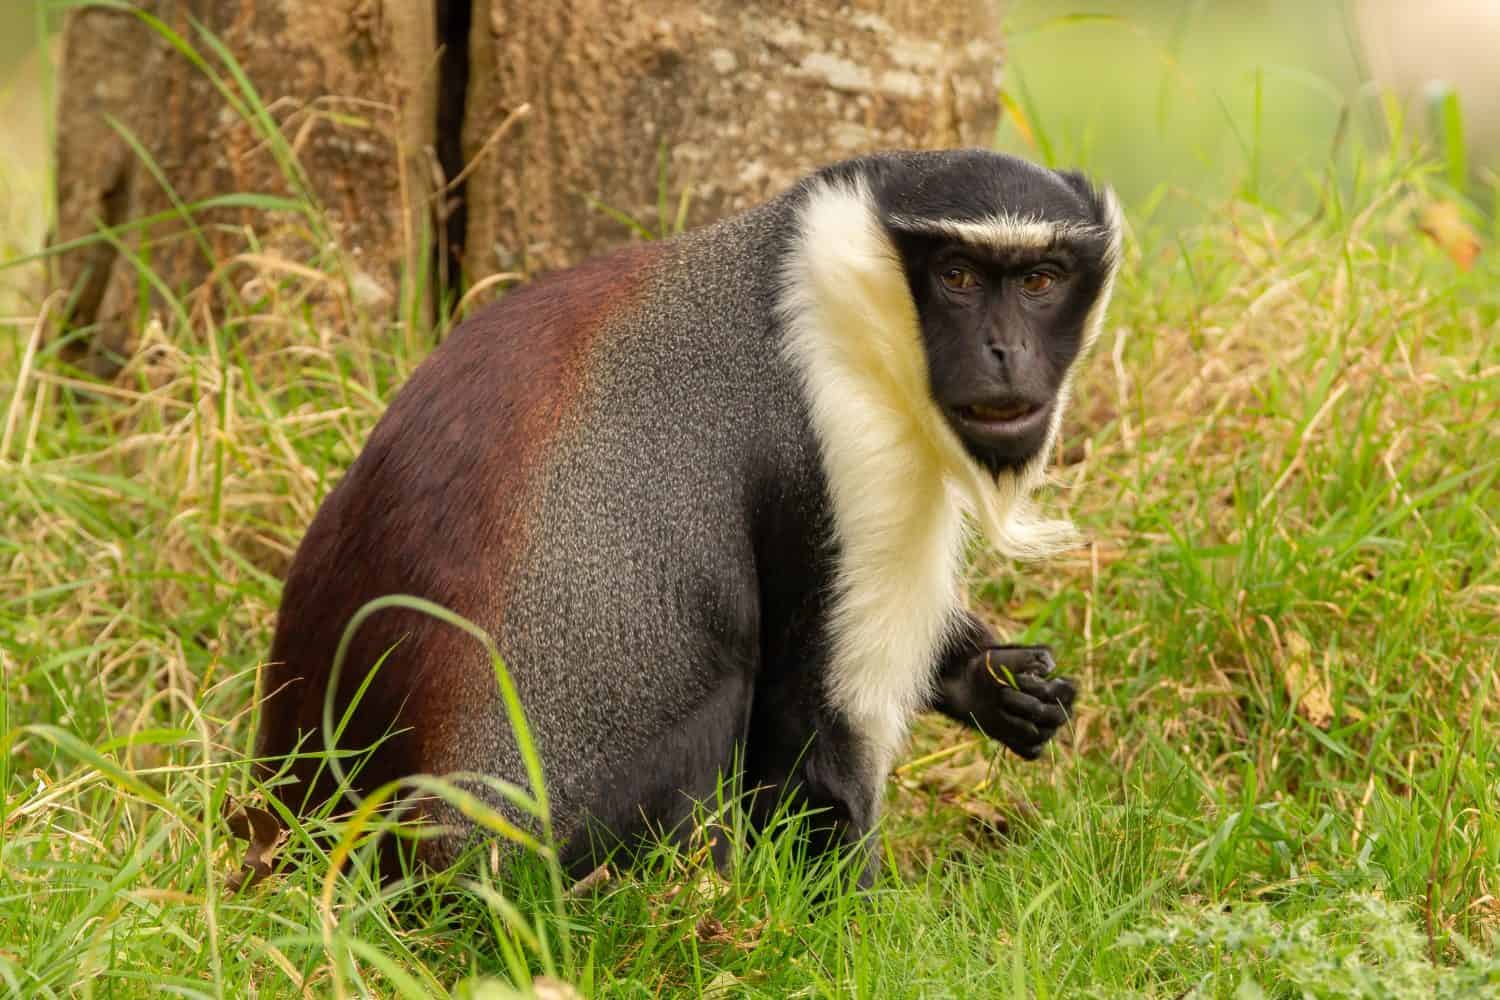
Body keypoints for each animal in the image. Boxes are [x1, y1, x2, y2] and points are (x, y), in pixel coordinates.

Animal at [255, 149, 1122, 885]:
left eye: (1041, 280)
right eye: (958, 275)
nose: (1006, 352)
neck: (809, 279)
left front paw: (995, 679)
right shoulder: (848, 445)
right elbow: (815, 734)